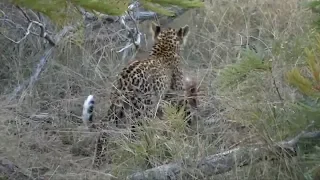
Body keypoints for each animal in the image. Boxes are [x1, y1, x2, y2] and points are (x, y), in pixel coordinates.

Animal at [81, 22, 195, 167]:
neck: (164, 47)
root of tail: (124, 80)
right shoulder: (176, 95)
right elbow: (184, 111)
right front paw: (189, 127)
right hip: (143, 110)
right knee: (138, 132)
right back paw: (146, 156)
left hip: (120, 108)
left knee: (106, 128)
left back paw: (99, 160)